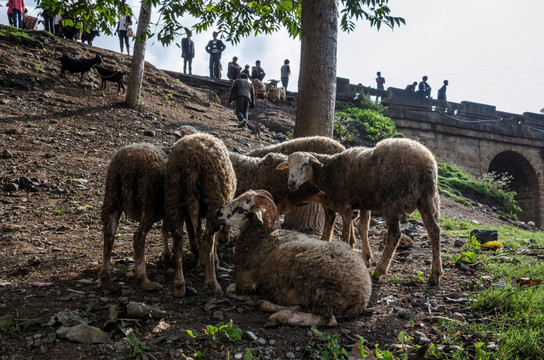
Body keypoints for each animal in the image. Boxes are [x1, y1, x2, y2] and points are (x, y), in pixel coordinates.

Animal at [99, 142, 168, 292]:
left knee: (109, 234)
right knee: (138, 237)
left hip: (112, 197)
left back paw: (106, 278)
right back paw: (144, 280)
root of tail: (129, 166)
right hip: (150, 203)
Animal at [164, 134, 236, 296]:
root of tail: (190, 163)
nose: (226, 240)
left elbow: (196, 231)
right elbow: (209, 239)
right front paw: (212, 263)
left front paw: (200, 261)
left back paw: (179, 285)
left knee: (178, 238)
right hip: (214, 201)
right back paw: (212, 283)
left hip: (174, 196)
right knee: (208, 239)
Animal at [215, 190, 372, 328]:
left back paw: (276, 316)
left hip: (317, 287)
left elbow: (229, 289)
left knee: (327, 319)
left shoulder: (246, 282)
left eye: (241, 208)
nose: (218, 213)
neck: (260, 238)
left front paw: (252, 298)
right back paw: (270, 305)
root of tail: (363, 295)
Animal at [278, 139, 444, 286]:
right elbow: (363, 228)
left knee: (395, 235)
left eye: (305, 164)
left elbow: (346, 232)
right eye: (289, 166)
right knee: (434, 230)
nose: (291, 183)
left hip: (392, 201)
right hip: (426, 200)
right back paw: (435, 275)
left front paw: (347, 251)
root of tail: (428, 163)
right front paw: (366, 257)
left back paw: (379, 271)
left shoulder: (345, 202)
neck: (330, 170)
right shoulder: (364, 204)